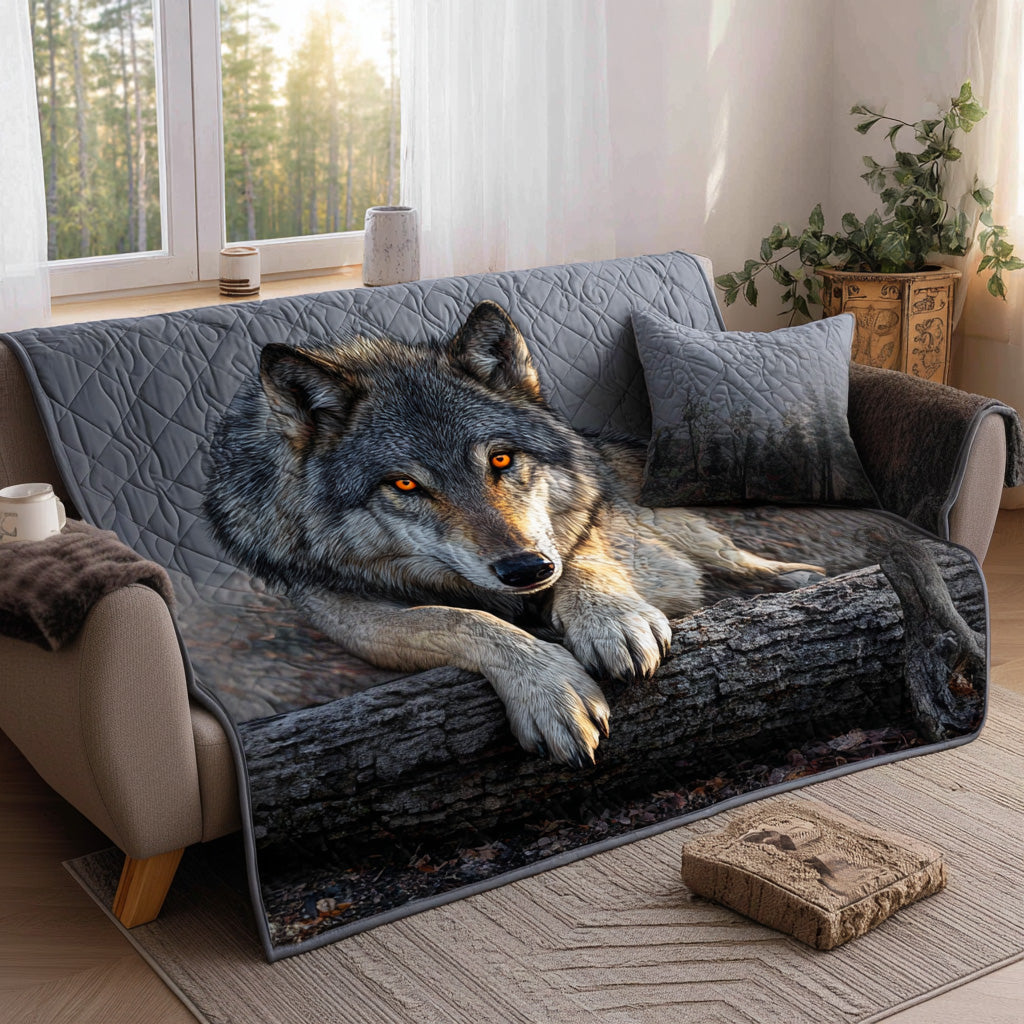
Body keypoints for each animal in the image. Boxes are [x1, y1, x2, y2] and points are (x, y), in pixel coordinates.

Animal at [204, 301, 823, 767]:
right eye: (405, 484)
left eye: (500, 459)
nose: (526, 570)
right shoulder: (346, 616)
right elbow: (458, 619)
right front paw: (547, 685)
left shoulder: (583, 527)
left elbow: (581, 554)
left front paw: (609, 618)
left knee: (733, 559)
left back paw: (797, 579)